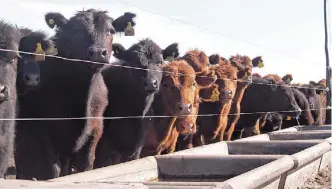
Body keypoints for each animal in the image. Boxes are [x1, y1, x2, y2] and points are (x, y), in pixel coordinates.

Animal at [13, 8, 137, 180]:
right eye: (76, 31)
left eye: (110, 31)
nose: (97, 53)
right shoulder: (39, 129)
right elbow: (52, 170)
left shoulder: (96, 129)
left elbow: (86, 166)